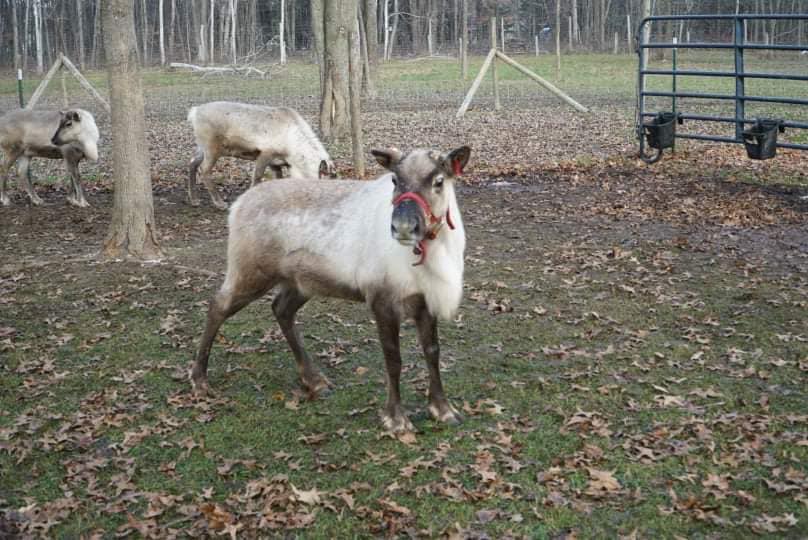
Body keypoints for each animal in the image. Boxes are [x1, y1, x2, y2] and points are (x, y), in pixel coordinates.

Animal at [187, 101, 337, 210]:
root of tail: (194, 112)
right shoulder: (265, 153)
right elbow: (257, 177)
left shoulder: (277, 162)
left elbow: (278, 179)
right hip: (212, 148)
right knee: (204, 170)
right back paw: (220, 203)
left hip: (201, 147)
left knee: (192, 163)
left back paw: (194, 200)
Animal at [190, 146, 471, 433]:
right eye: (395, 179)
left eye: (439, 181)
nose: (403, 227)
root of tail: (239, 204)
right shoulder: (382, 300)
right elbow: (393, 360)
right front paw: (396, 419)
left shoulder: (426, 301)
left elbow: (433, 352)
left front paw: (443, 410)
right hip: (250, 273)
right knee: (218, 306)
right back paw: (199, 379)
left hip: (300, 283)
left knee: (281, 309)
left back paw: (315, 381)